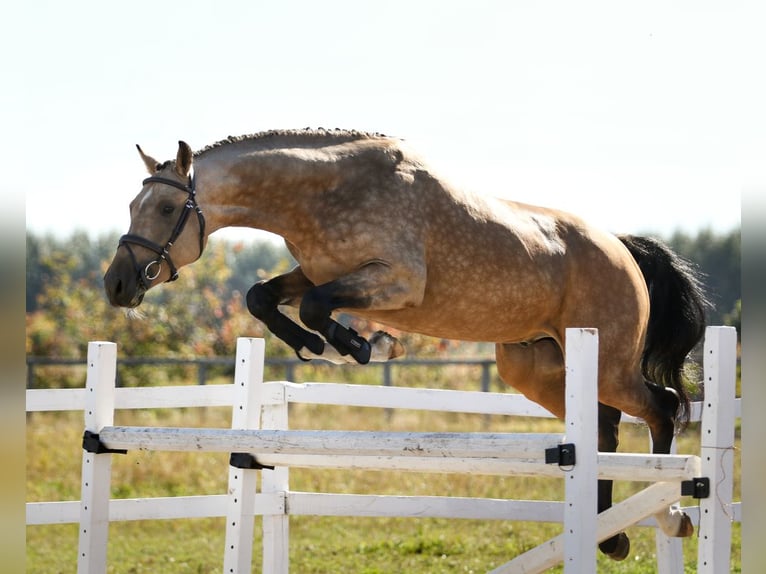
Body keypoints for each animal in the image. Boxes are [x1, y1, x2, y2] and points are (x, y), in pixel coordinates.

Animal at [104, 128, 708, 561]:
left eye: (164, 210)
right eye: (132, 208)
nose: (116, 285)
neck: (321, 194)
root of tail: (622, 247)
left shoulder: (393, 282)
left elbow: (315, 307)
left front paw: (364, 345)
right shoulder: (320, 271)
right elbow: (263, 297)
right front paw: (327, 346)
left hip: (607, 363)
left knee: (661, 407)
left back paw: (669, 513)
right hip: (536, 367)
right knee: (603, 426)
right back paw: (611, 534)